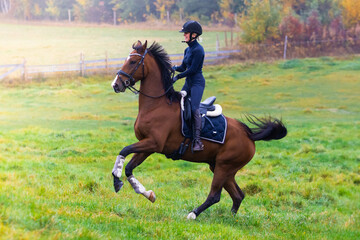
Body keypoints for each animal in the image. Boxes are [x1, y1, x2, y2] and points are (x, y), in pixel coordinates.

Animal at [110, 40, 286, 219]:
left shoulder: (153, 143)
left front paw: (117, 179)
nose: (116, 85)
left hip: (224, 167)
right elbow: (129, 168)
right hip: (221, 167)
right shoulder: (147, 146)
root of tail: (249, 135)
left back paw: (193, 214)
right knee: (238, 195)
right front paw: (146, 193)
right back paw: (230, 217)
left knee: (215, 195)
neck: (157, 105)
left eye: (133, 61)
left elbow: (124, 151)